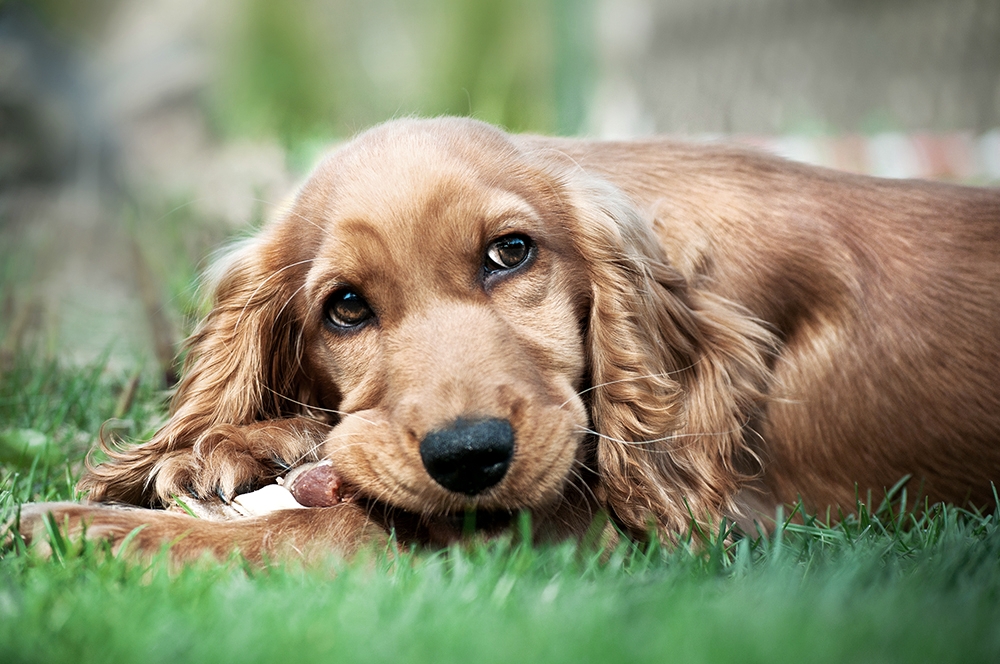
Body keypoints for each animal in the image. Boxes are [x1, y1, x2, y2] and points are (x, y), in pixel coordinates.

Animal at [13, 118, 1000, 560]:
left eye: (510, 253)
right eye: (345, 308)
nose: (470, 456)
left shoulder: (638, 530)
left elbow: (338, 528)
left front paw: (84, 527)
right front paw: (227, 449)